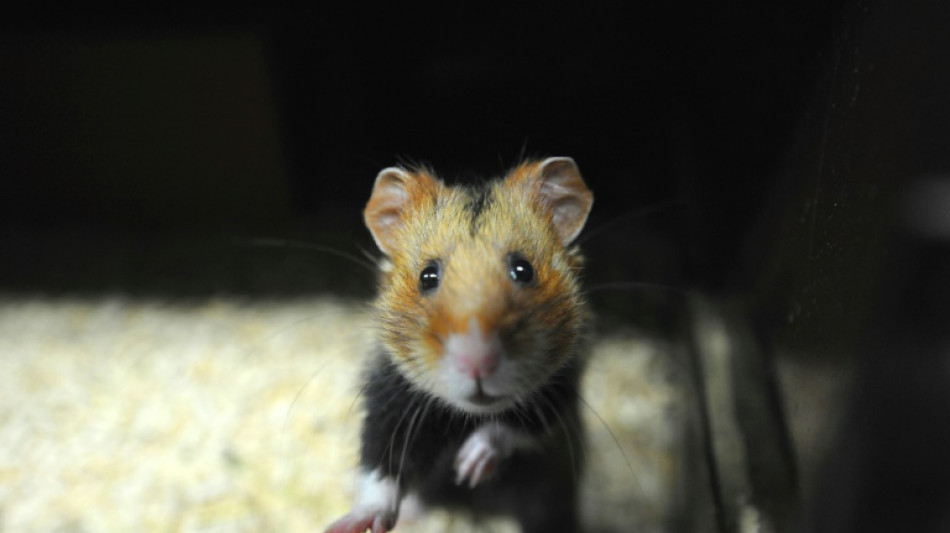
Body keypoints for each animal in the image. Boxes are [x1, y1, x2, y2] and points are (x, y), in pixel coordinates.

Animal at [325, 157, 594, 533]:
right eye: (428, 276)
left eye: (523, 270)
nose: (477, 364)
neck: (469, 415)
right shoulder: (390, 399)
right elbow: (380, 467)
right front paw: (348, 525)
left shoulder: (561, 390)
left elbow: (512, 428)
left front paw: (470, 466)